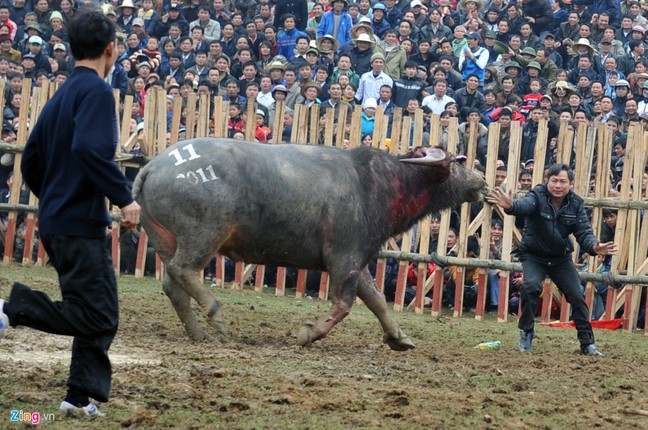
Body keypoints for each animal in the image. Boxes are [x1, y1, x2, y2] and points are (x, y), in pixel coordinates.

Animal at [132, 139, 486, 352]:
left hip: (166, 238)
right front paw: (308, 334)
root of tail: (153, 167)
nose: (481, 180)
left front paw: (399, 337)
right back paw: (215, 315)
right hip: (204, 233)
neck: (377, 184)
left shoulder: (358, 260)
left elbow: (377, 300)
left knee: (173, 284)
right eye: (457, 162)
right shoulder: (345, 258)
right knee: (183, 271)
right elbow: (344, 305)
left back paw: (198, 333)